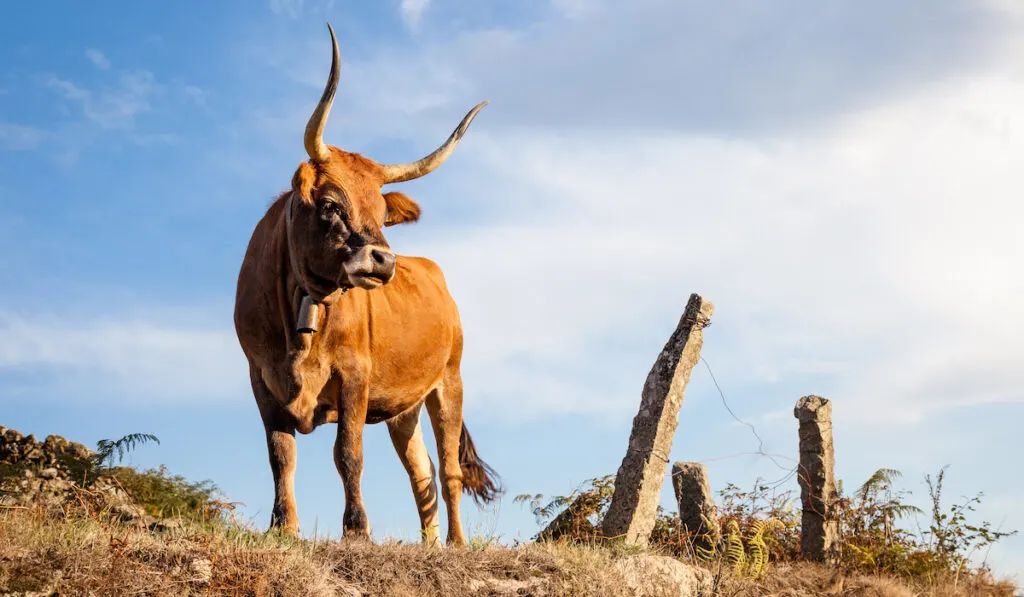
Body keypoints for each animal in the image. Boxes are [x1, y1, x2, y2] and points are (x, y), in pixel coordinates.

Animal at [233, 22, 503, 544]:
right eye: (331, 204)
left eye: (381, 213)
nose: (383, 260)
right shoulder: (260, 376)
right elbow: (281, 455)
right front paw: (283, 527)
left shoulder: (355, 375)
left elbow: (348, 453)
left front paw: (356, 529)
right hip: (404, 408)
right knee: (422, 475)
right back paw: (429, 546)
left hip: (450, 382)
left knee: (448, 471)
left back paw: (456, 543)